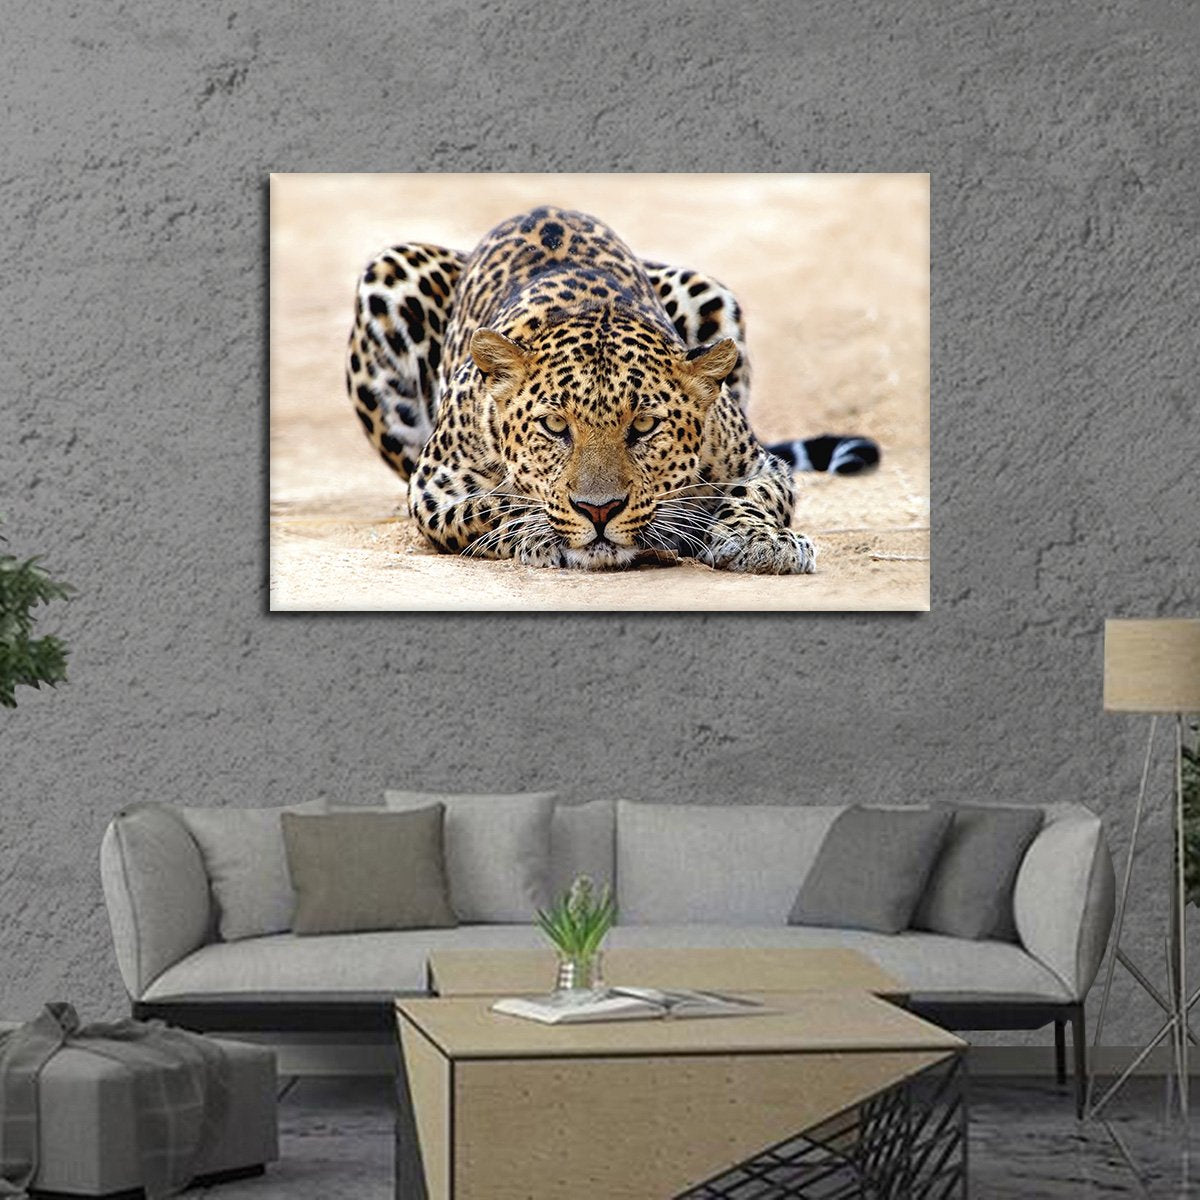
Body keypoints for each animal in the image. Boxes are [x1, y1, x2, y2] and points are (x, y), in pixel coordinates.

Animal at [345, 206, 879, 574]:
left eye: (643, 426)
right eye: (554, 426)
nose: (598, 511)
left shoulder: (760, 465)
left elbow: (752, 496)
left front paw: (761, 541)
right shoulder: (434, 488)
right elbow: (497, 504)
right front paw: (541, 533)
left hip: (706, 288)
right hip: (389, 272)